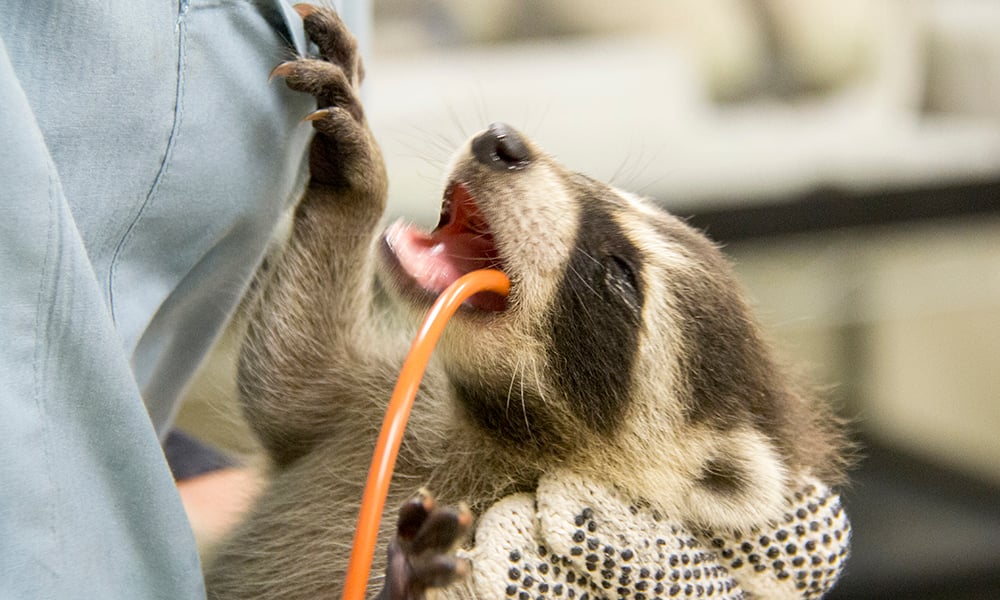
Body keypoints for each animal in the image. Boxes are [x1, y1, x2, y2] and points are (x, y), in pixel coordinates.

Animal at [203, 5, 852, 600]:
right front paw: (353, 185)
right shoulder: (382, 402)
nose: (503, 142)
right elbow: (287, 376)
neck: (494, 423)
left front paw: (406, 578)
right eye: (595, 186)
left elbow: (283, 379)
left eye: (621, 274)